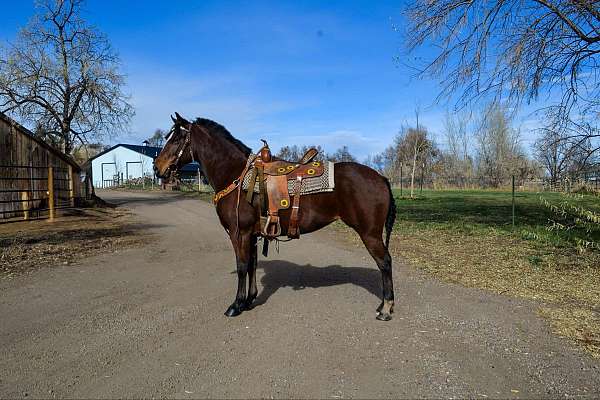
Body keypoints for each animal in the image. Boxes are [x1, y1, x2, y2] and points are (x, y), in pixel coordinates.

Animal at [155, 112, 398, 322]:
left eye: (177, 139)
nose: (157, 168)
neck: (236, 176)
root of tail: (381, 177)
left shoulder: (239, 233)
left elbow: (242, 266)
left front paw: (236, 305)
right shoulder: (252, 235)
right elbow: (252, 264)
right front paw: (249, 300)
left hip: (370, 234)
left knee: (385, 262)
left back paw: (386, 308)